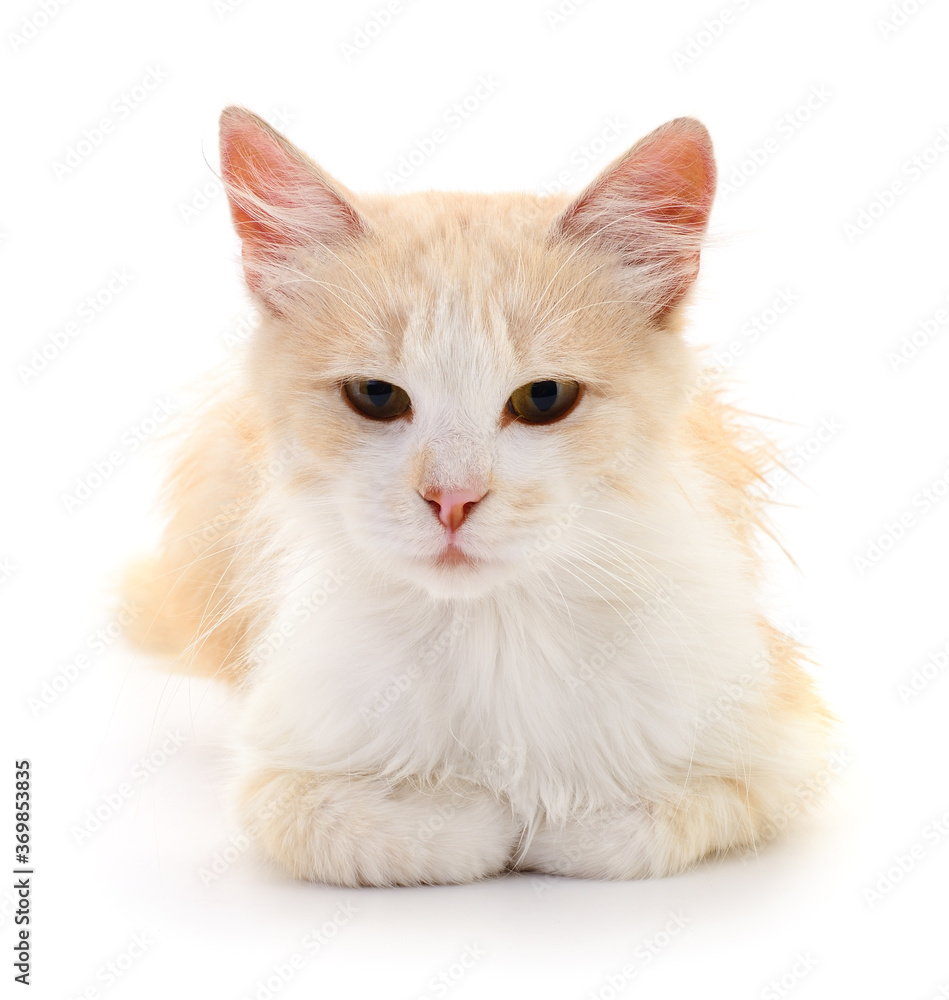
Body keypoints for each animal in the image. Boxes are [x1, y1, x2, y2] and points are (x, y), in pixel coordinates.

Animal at [126, 109, 828, 888]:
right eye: (375, 396)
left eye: (543, 398)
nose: (452, 499)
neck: (490, 631)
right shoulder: (278, 773)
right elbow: (408, 831)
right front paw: (481, 813)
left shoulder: (781, 749)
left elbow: (619, 830)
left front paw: (544, 821)